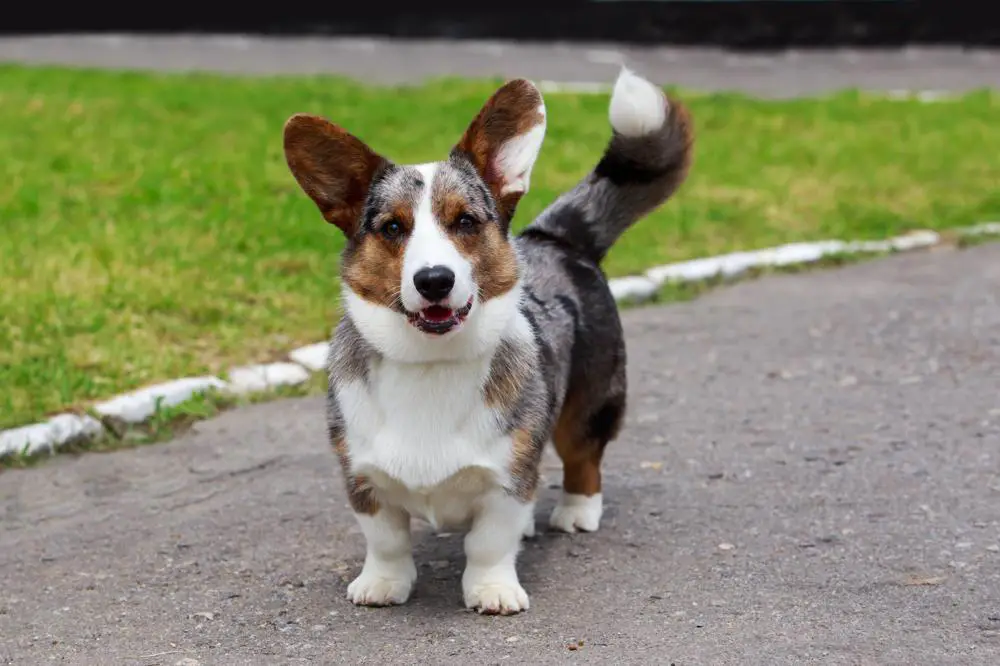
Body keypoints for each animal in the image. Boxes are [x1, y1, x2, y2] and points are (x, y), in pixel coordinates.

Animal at [284, 66, 696, 612]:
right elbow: (387, 539)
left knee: (583, 456)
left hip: (589, 402)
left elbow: (488, 543)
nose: (434, 280)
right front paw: (382, 584)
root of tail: (555, 238)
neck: (431, 363)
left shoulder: (507, 479)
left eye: (465, 221)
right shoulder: (361, 475)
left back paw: (577, 512)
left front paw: (492, 590)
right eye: (392, 228)